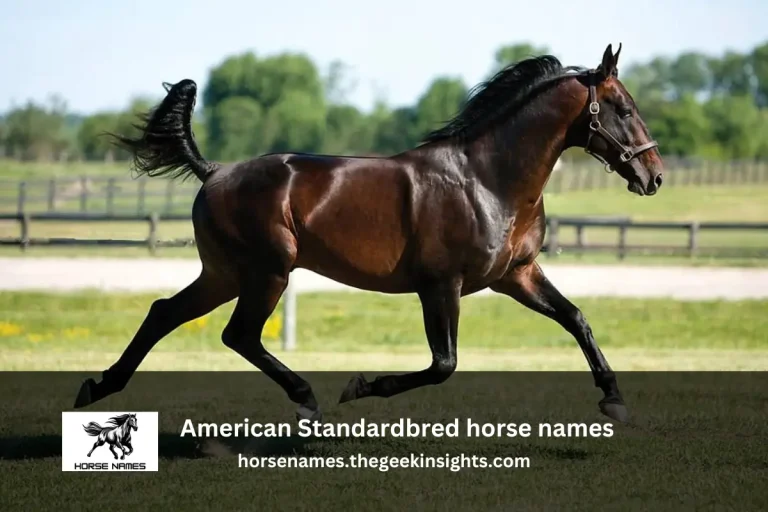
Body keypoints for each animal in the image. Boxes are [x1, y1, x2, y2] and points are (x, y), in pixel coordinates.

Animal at [73, 43, 662, 424]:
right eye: (623, 108)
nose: (653, 176)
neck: (487, 180)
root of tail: (214, 171)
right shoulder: (441, 286)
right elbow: (443, 365)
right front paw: (361, 385)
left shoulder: (516, 275)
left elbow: (576, 318)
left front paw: (613, 399)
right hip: (267, 272)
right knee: (238, 335)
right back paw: (306, 398)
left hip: (224, 274)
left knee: (164, 313)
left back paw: (98, 386)